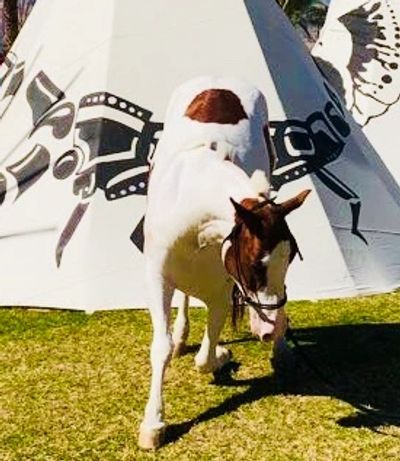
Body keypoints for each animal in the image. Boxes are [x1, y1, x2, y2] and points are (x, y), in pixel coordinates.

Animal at [139, 77, 308, 448]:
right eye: (255, 264)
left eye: (290, 260)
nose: (272, 328)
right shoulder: (157, 277)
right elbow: (161, 346)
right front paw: (153, 422)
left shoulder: (223, 286)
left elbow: (206, 353)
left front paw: (221, 357)